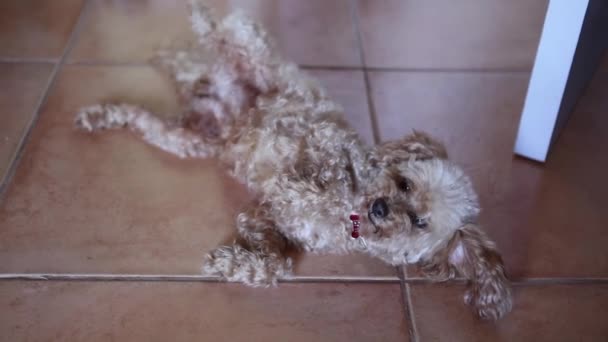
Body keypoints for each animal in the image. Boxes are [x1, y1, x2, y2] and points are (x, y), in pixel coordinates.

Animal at [76, 0, 512, 320]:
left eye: (420, 221)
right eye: (405, 183)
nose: (381, 207)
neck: (352, 216)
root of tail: (213, 88)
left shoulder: (262, 219)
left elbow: (276, 266)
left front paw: (231, 265)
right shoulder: (321, 143)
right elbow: (324, 171)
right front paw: (323, 183)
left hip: (188, 138)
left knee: (145, 106)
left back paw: (102, 114)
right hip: (253, 55)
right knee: (213, 24)